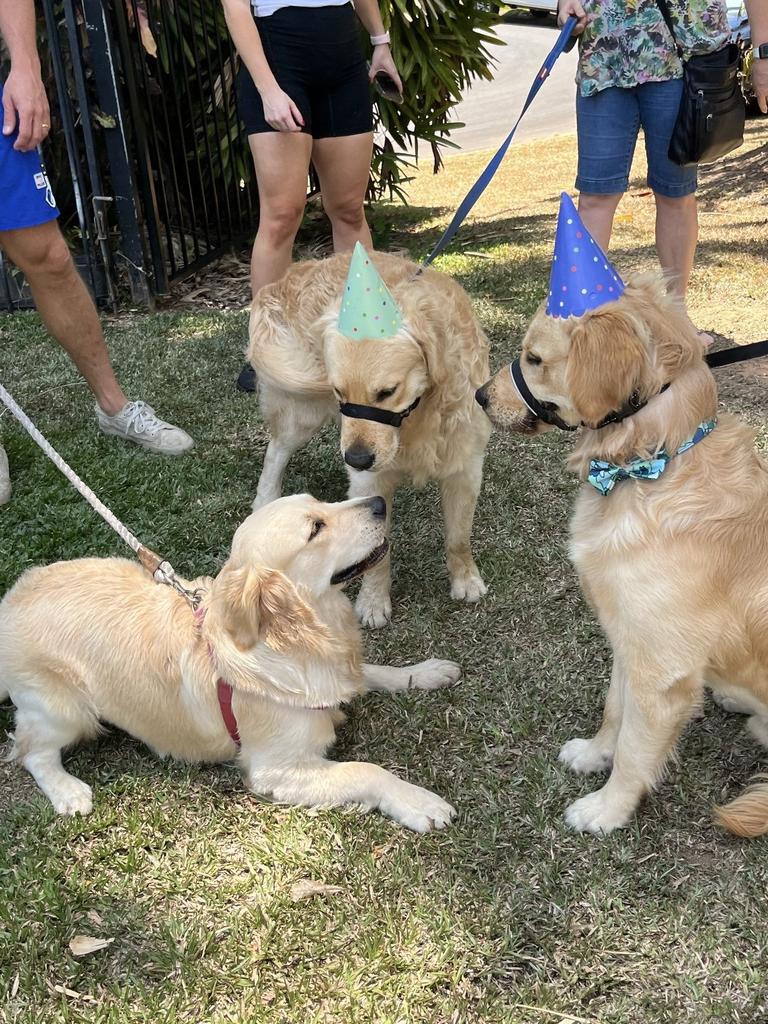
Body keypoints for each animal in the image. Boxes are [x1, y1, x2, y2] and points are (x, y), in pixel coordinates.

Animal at [0, 495, 460, 831]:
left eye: (323, 502)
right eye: (315, 527)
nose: (381, 501)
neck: (301, 637)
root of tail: (8, 604)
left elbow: (374, 671)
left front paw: (425, 671)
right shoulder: (276, 769)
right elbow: (366, 770)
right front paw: (418, 801)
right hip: (66, 711)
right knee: (31, 753)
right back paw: (68, 791)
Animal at [246, 244, 493, 626]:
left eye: (387, 392)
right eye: (339, 392)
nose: (356, 459)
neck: (417, 419)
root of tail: (293, 273)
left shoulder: (465, 466)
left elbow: (458, 537)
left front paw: (466, 580)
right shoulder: (368, 482)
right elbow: (377, 551)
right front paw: (374, 601)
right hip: (302, 410)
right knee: (276, 450)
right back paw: (266, 500)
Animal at [481, 274, 768, 839]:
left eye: (534, 358)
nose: (479, 395)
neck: (651, 465)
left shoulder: (661, 669)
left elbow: (637, 750)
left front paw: (606, 809)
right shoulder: (627, 635)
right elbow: (615, 708)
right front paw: (595, 754)